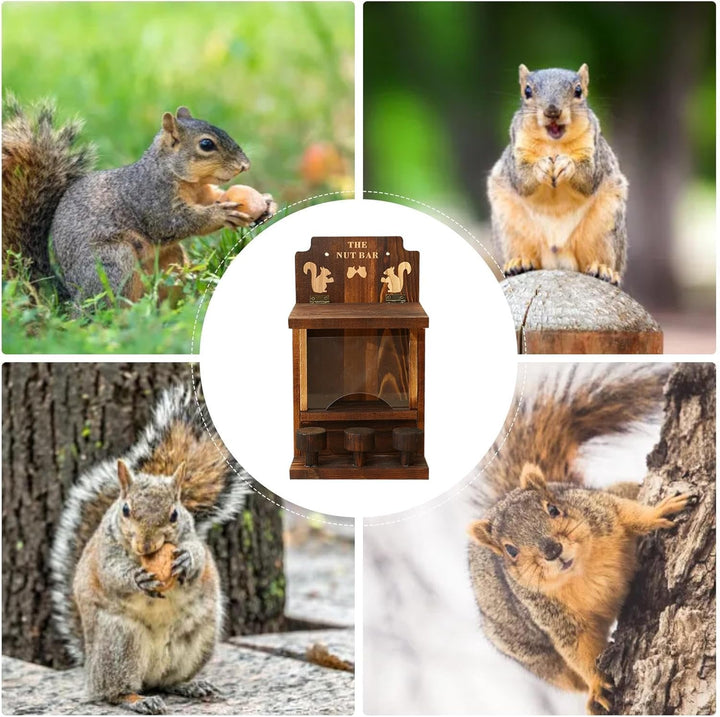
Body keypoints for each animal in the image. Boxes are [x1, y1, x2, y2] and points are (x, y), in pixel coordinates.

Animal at [2, 95, 275, 304]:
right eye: (206, 144)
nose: (245, 165)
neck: (182, 179)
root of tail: (70, 297)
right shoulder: (151, 199)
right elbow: (175, 222)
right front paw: (221, 214)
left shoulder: (203, 192)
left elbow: (216, 197)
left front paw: (266, 202)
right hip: (112, 263)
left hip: (170, 260)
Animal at [49, 386, 248, 714]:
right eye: (126, 510)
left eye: (174, 514)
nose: (146, 544)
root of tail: (90, 669)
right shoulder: (105, 552)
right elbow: (111, 573)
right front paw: (136, 578)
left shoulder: (192, 537)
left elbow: (199, 555)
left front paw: (186, 561)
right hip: (120, 644)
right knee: (113, 691)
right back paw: (137, 700)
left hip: (198, 640)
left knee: (168, 682)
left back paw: (191, 685)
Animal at [466, 367, 695, 714]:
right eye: (510, 550)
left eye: (553, 508)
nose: (552, 549)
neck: (582, 569)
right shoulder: (555, 618)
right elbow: (579, 651)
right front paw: (598, 684)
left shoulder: (600, 510)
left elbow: (629, 512)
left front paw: (659, 511)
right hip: (534, 655)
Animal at [487, 64, 628, 286]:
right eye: (527, 91)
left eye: (578, 91)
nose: (552, 111)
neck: (554, 143)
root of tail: (557, 254)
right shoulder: (517, 151)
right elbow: (521, 180)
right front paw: (541, 167)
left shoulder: (594, 149)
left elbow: (589, 178)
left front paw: (566, 164)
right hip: (510, 228)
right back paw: (519, 262)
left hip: (605, 227)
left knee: (601, 257)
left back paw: (602, 269)